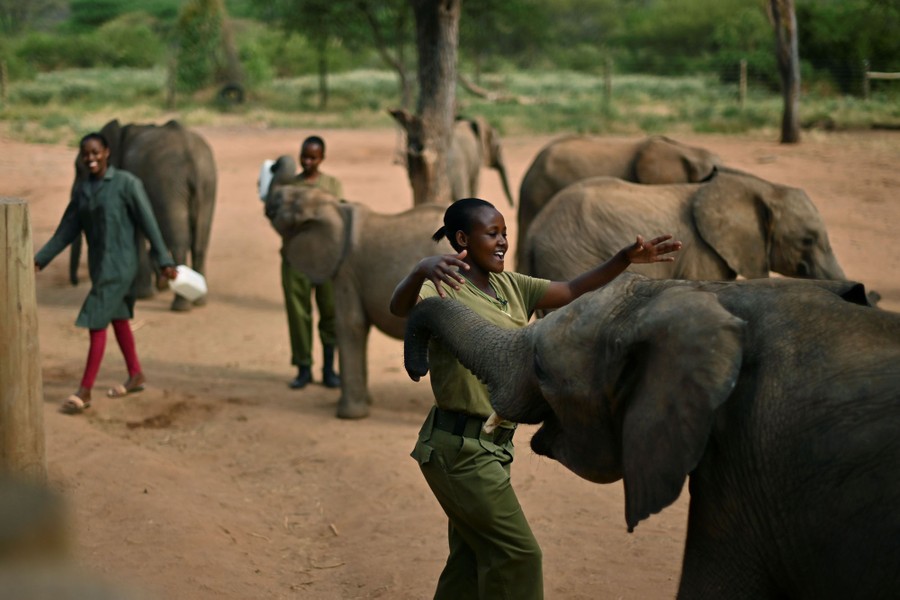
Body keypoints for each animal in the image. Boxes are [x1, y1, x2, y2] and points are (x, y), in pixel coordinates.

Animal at [69, 119, 217, 312]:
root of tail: (192, 157)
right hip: (207, 184)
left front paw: (143, 295)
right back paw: (200, 301)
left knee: (179, 242)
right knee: (200, 242)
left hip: (169, 184)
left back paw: (180, 306)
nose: (75, 282)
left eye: (79, 168)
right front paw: (158, 286)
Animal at [265, 172, 452, 418]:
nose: (273, 198)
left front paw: (348, 416)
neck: (336, 209)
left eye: (291, 205)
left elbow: (351, 325)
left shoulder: (346, 269)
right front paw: (366, 404)